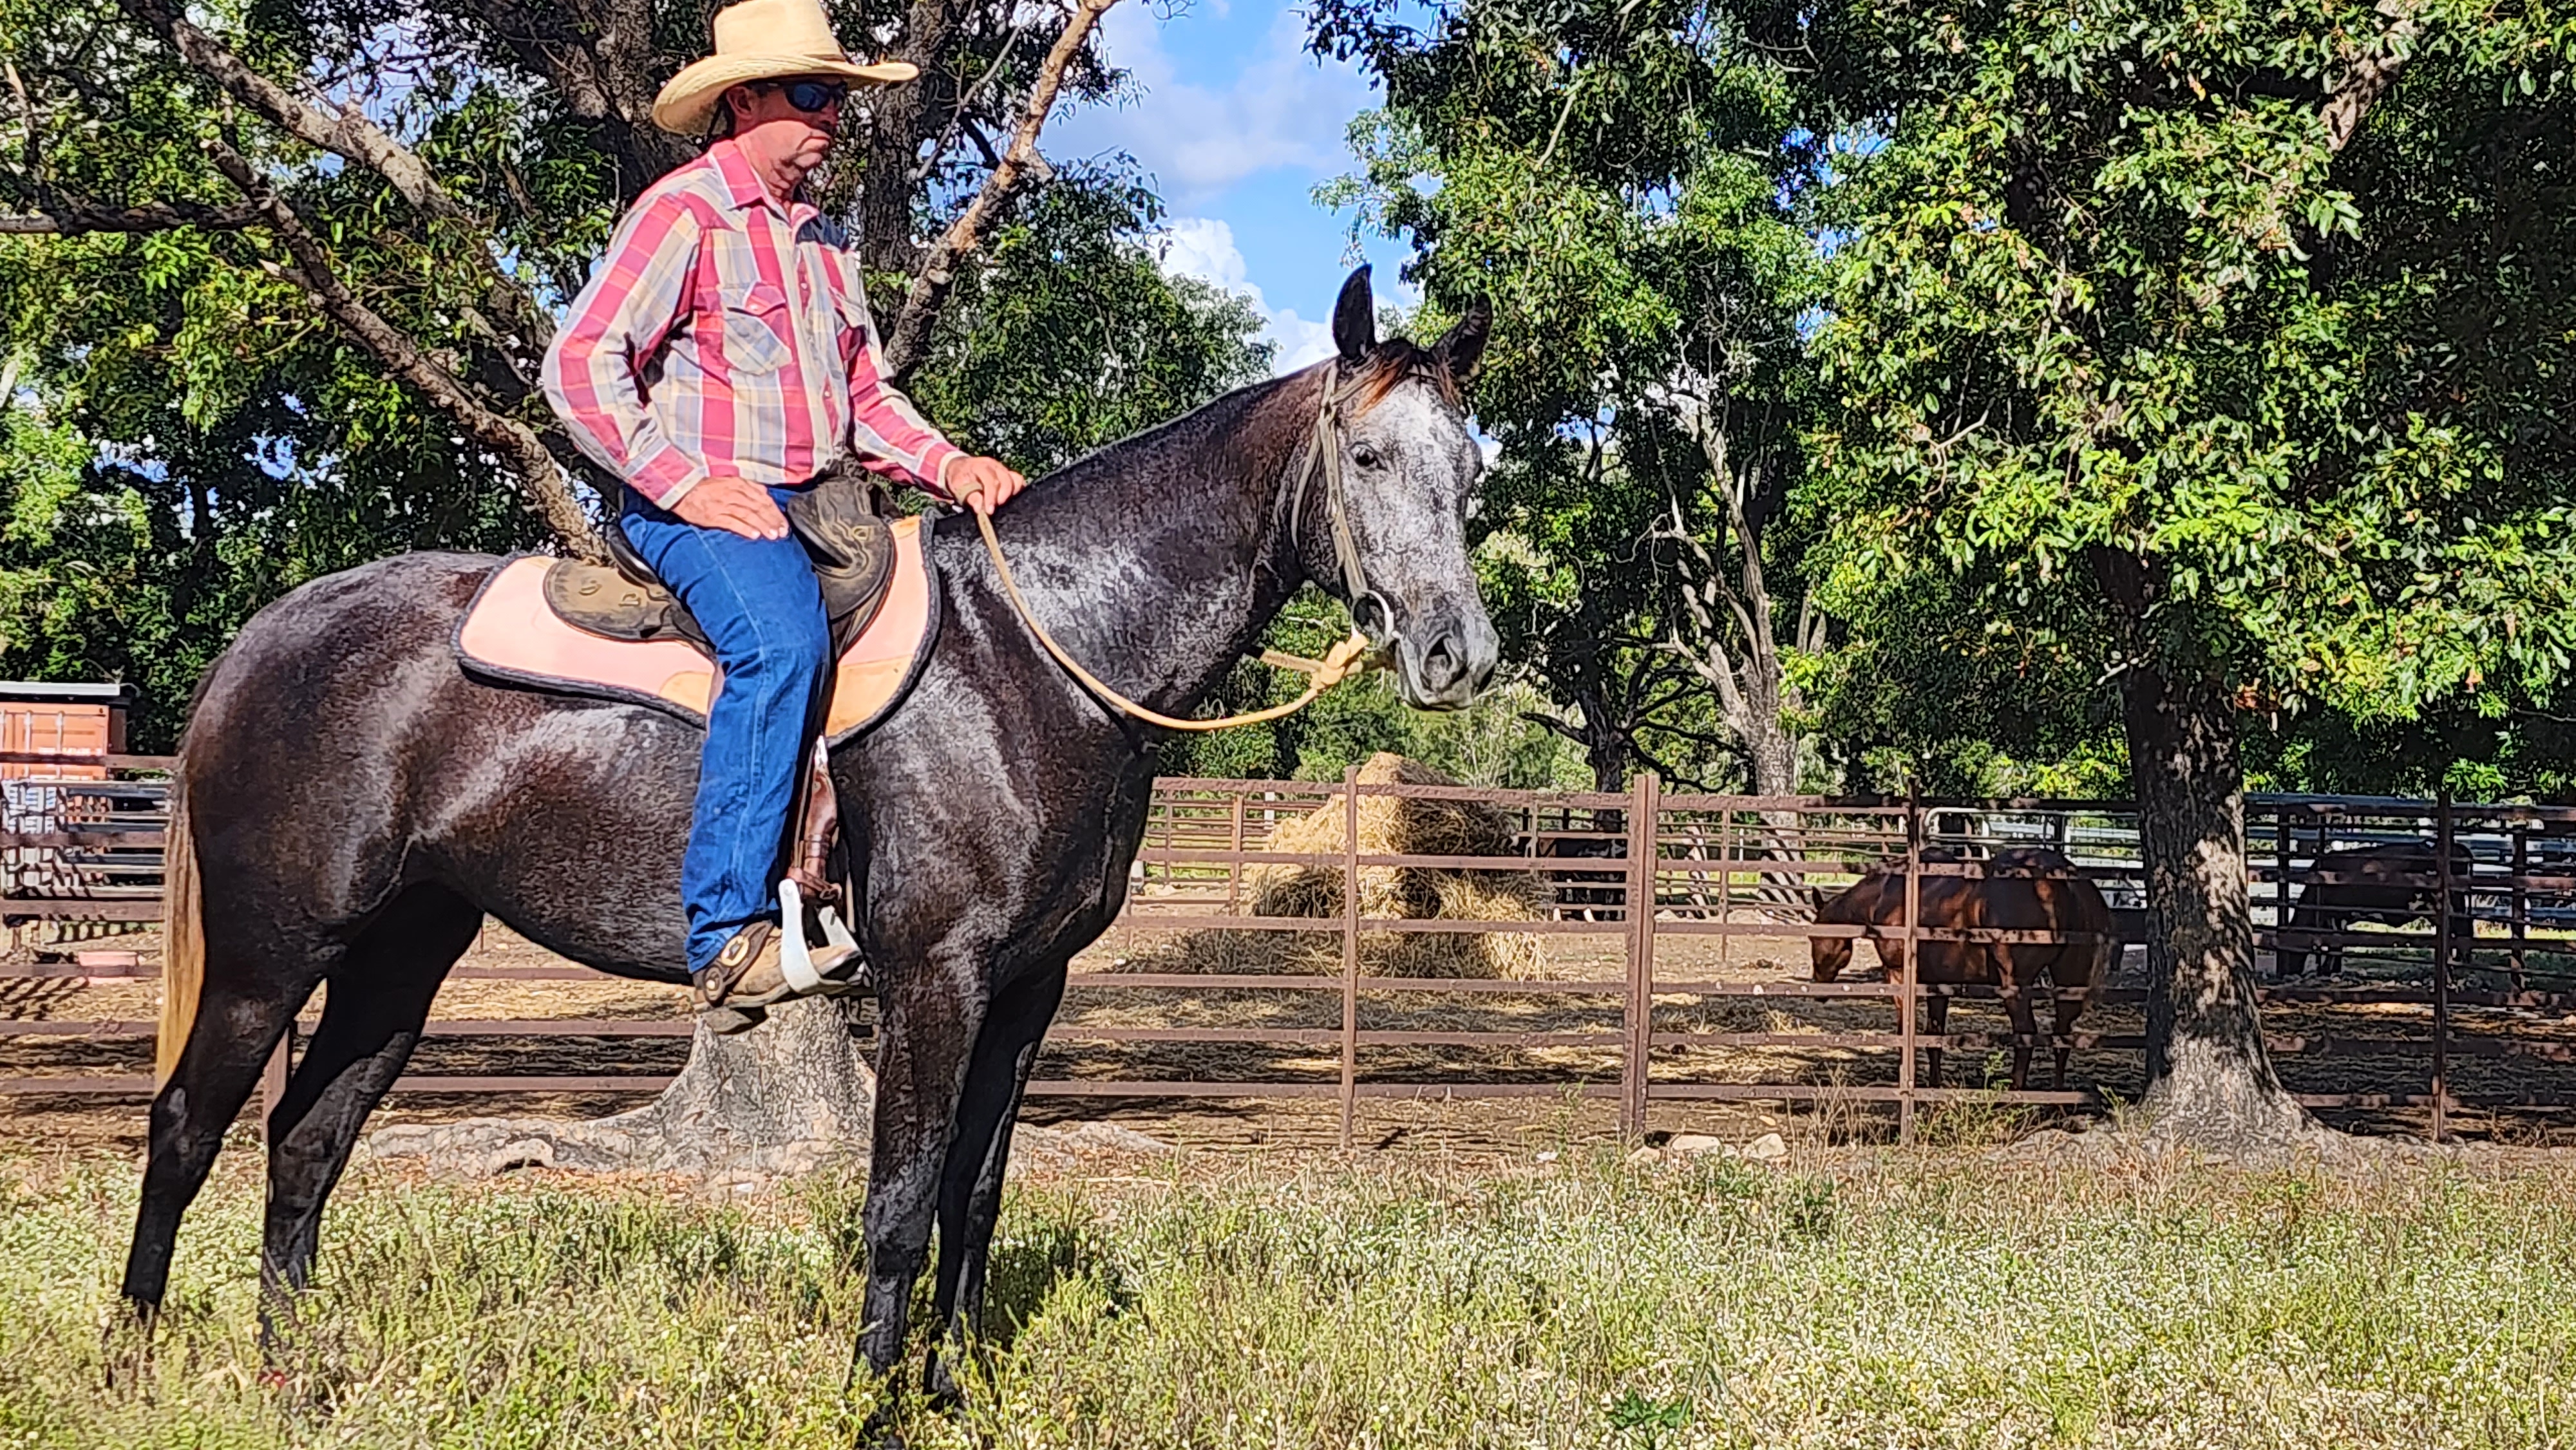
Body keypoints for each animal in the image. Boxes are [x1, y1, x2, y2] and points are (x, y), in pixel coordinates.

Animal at [120, 268, 1496, 1412]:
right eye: (1367, 453)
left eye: (1472, 473)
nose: (1458, 654)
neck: (1038, 654)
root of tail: (268, 635)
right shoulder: (933, 977)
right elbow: (898, 1203)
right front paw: (871, 1404)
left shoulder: (1028, 987)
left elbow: (974, 1196)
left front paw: (949, 1391)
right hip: (270, 950)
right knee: (188, 1124)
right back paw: (131, 1355)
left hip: (402, 950)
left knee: (307, 1140)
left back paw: (296, 1369)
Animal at [1810, 846, 2111, 1090]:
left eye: (1813, 938)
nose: (1818, 988)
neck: (1887, 895)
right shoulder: (1937, 983)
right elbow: (1934, 1035)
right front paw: (1934, 1083)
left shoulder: (1898, 975)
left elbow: (1904, 1029)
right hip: (2068, 982)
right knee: (2063, 1035)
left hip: (2015, 984)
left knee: (2027, 1033)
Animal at [2277, 840, 2474, 977]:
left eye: (2287, 950)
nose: (2284, 973)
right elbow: (2338, 945)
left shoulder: (2335, 915)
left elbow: (2335, 945)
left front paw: (2326, 971)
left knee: (2461, 930)